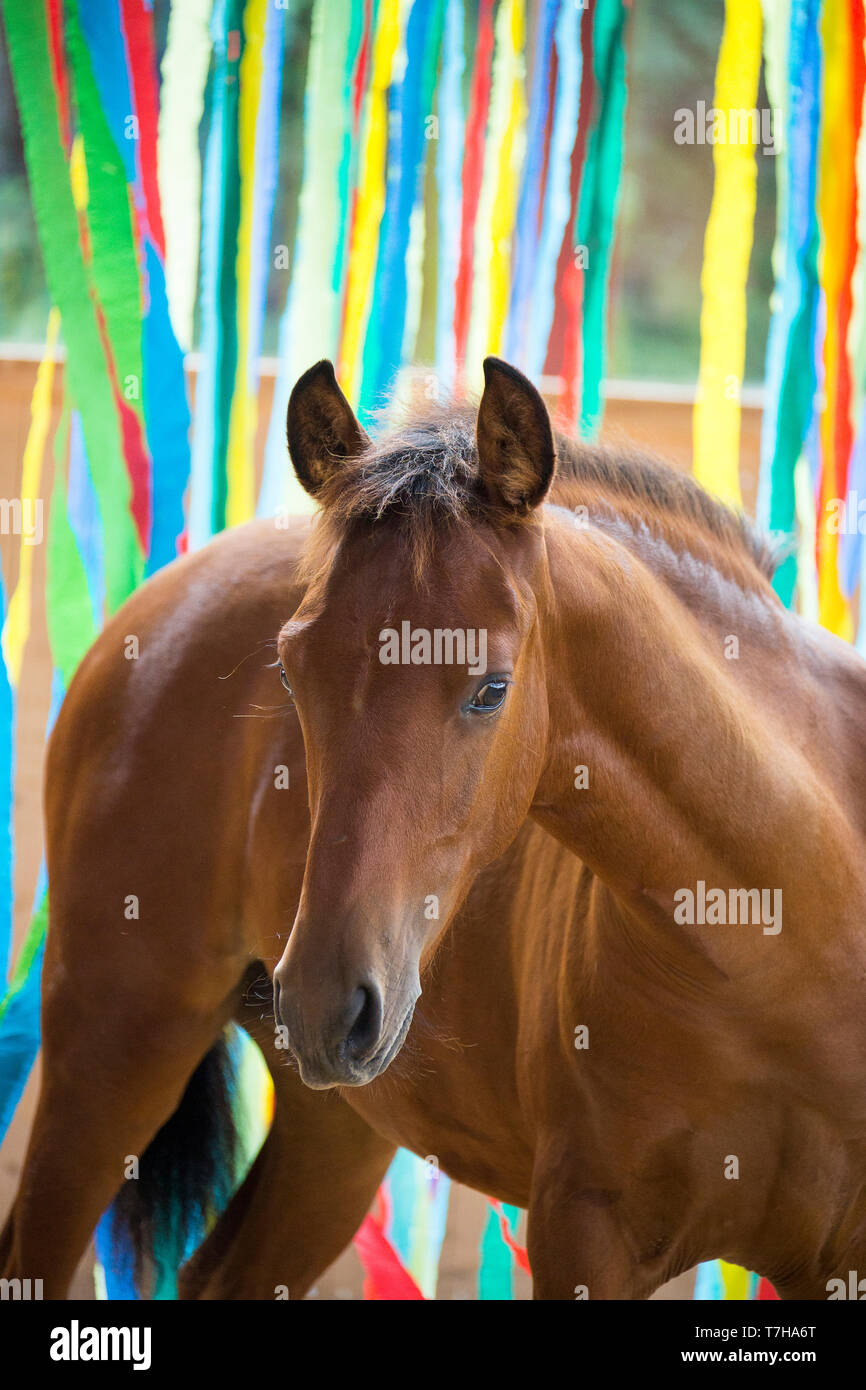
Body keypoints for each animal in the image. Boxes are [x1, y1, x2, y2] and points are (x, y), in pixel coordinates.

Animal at [1, 358, 866, 1301]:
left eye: (491, 689)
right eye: (292, 672)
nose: (322, 1002)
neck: (779, 933)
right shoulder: (585, 1235)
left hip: (332, 1136)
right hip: (112, 1058)